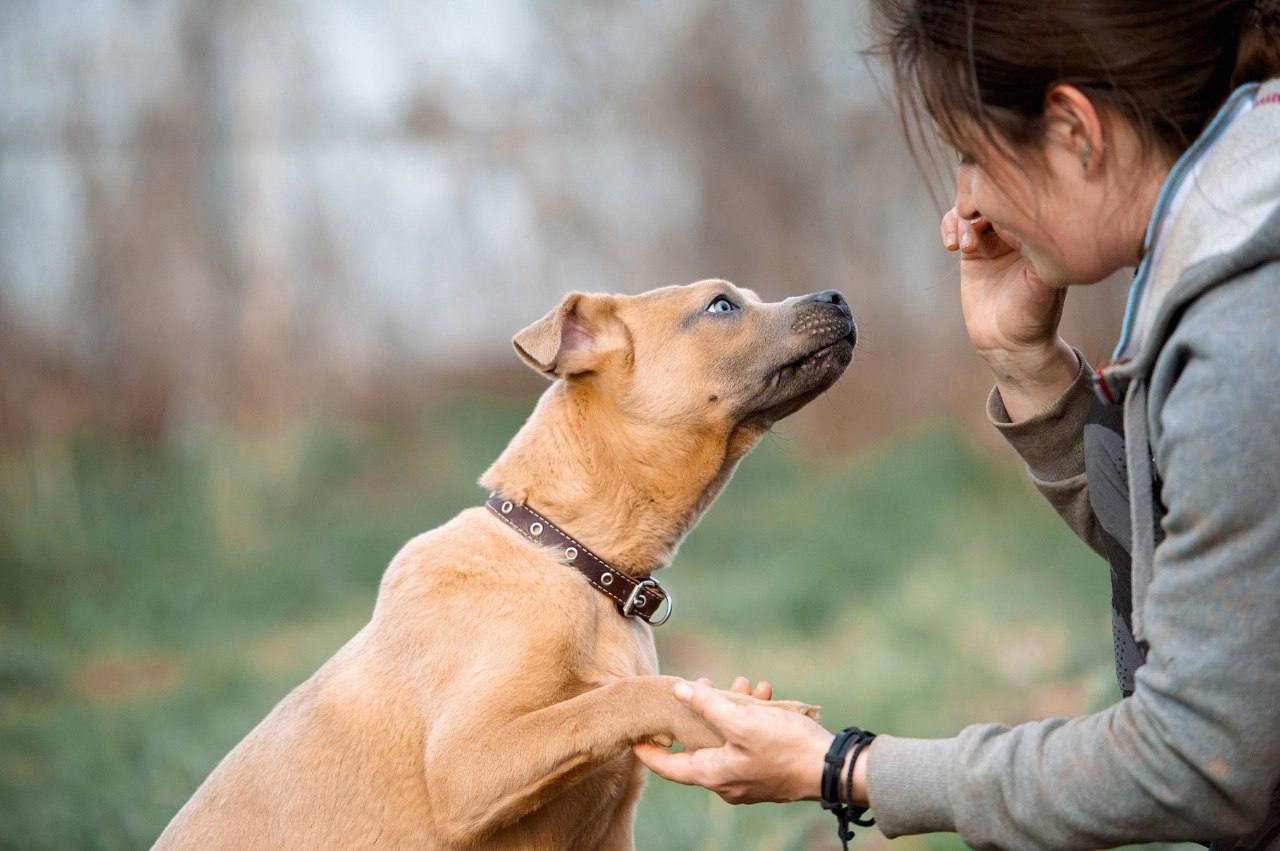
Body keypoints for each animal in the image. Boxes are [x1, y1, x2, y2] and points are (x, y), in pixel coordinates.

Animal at [157, 280, 860, 849]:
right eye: (720, 305)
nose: (838, 297)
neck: (570, 558)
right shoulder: (468, 766)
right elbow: (619, 697)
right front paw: (750, 715)